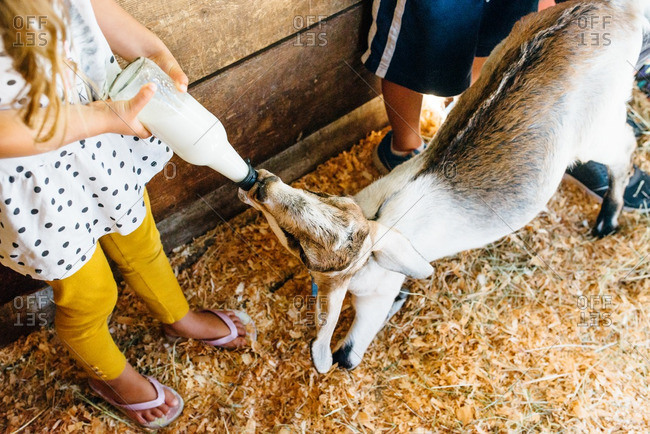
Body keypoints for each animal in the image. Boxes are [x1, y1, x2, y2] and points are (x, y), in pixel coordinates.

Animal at [240, 0, 649, 373]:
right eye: (321, 194)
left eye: (299, 245)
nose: (261, 184)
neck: (379, 218)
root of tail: (616, 8)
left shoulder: (376, 293)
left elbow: (347, 357)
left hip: (598, 125)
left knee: (624, 146)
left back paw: (608, 218)